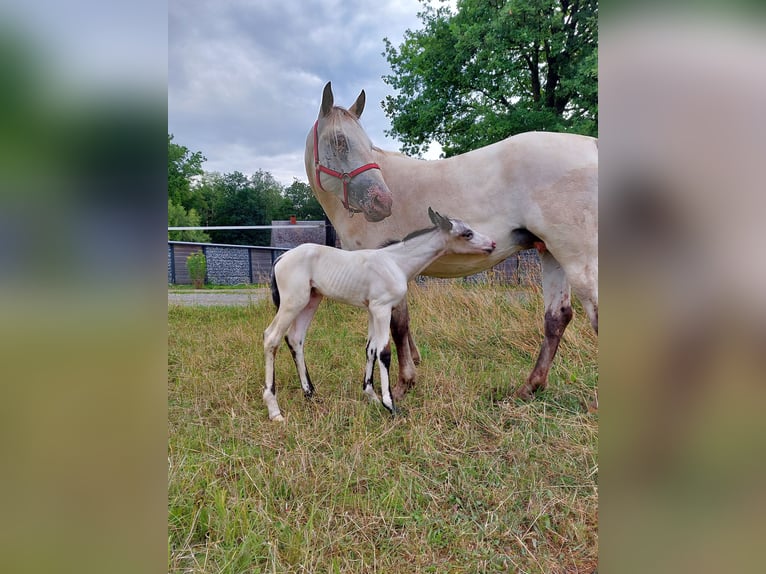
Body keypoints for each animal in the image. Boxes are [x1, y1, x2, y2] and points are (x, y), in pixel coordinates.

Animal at [264, 208, 498, 424]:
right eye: (467, 233)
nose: (493, 244)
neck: (396, 262)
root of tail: (281, 257)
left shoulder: (372, 310)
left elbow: (371, 349)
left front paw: (372, 397)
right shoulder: (382, 308)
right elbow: (384, 352)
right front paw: (390, 405)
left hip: (311, 300)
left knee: (295, 339)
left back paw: (310, 394)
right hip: (293, 302)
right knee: (271, 338)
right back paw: (275, 410)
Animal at [306, 83, 600, 402]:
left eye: (366, 144)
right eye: (339, 142)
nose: (382, 202)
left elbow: (397, 326)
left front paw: (403, 384)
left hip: (578, 258)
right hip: (552, 254)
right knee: (557, 317)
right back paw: (529, 387)